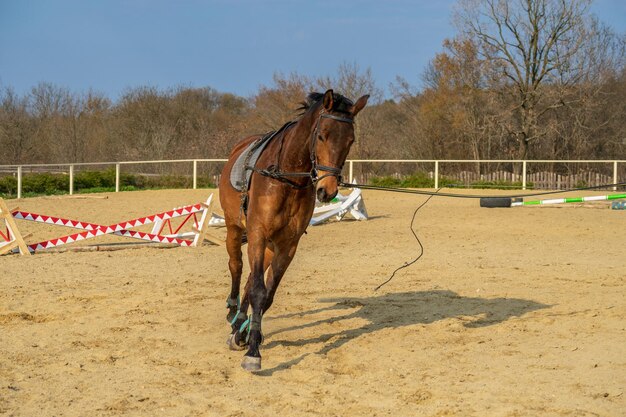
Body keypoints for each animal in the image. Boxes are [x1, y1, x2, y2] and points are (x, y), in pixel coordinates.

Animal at [218, 89, 368, 368]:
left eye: (350, 140)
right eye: (321, 135)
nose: (327, 190)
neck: (287, 178)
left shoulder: (288, 245)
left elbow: (266, 294)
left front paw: (251, 336)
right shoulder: (257, 233)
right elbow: (257, 289)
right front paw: (253, 352)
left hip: (269, 246)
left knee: (250, 280)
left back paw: (240, 326)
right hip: (235, 229)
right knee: (237, 267)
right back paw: (233, 313)